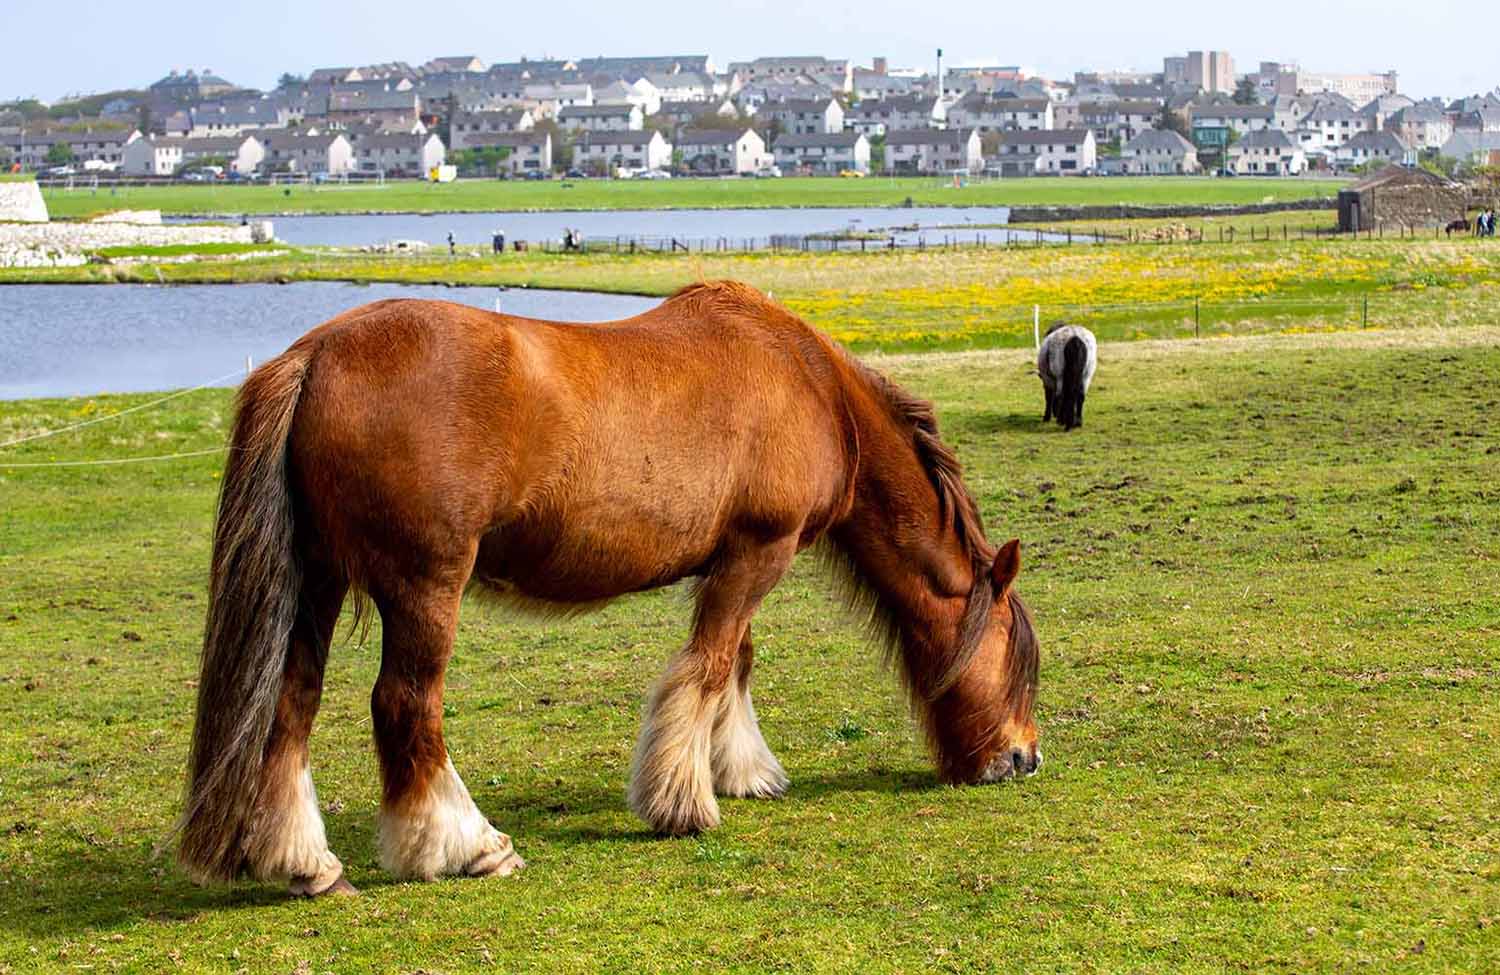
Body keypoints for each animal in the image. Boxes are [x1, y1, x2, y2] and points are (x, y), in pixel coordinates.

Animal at [175, 277, 1044, 894]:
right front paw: (682, 803)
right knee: (404, 704)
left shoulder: (732, 561)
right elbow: (709, 669)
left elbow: (735, 666)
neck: (812, 385)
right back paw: (468, 845)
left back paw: (306, 862)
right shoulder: (758, 553)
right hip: (426, 585)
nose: (1023, 758)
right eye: (1013, 653)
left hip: (317, 580)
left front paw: (741, 771)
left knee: (292, 702)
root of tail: (312, 356)